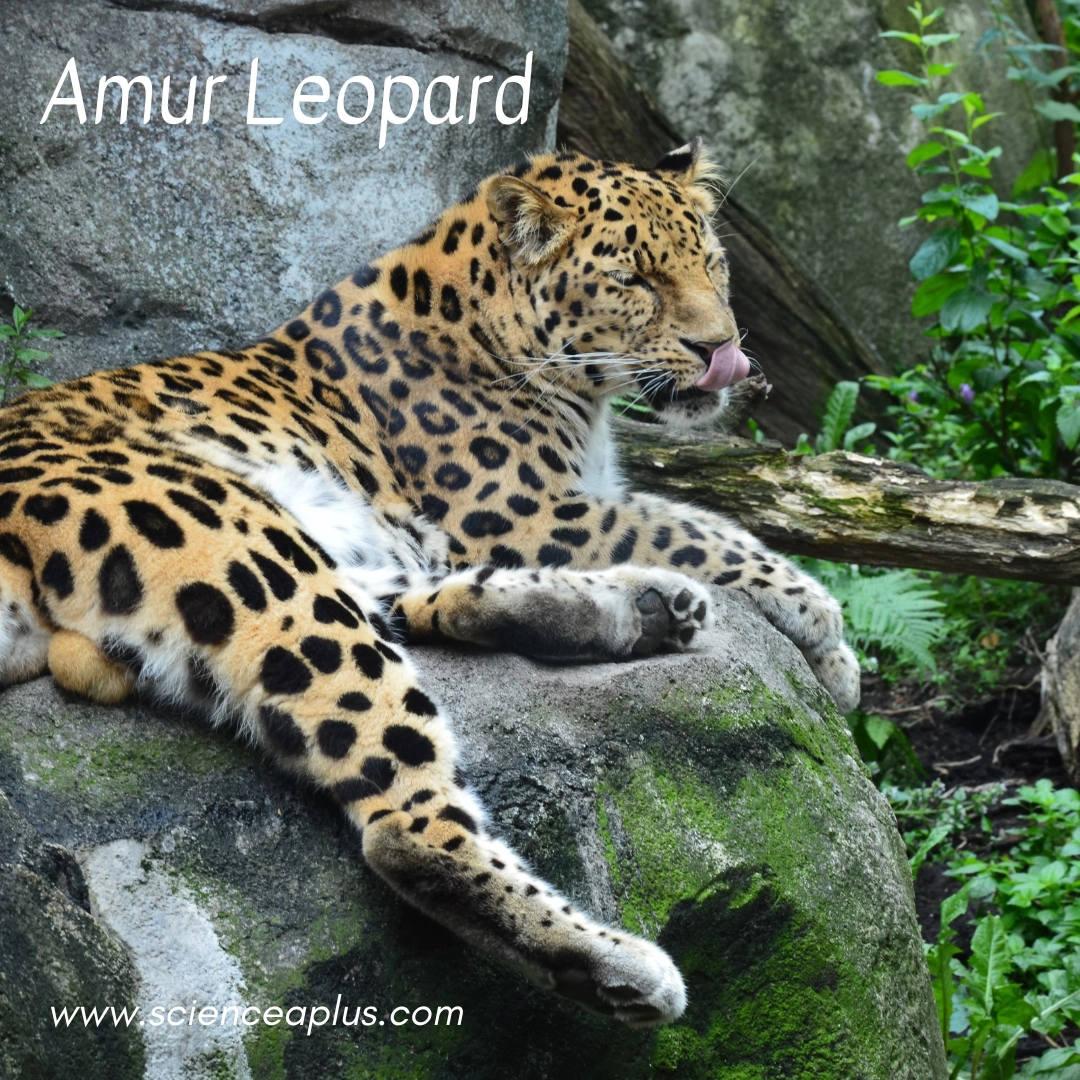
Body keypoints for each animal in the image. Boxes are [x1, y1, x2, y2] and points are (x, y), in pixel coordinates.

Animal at [0, 138, 859, 1027]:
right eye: (633, 279)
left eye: (712, 264)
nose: (720, 349)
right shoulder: (532, 515)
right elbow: (696, 529)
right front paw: (827, 633)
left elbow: (706, 523)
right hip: (236, 540)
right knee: (404, 821)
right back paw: (618, 966)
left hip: (304, 542)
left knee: (418, 605)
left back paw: (646, 609)